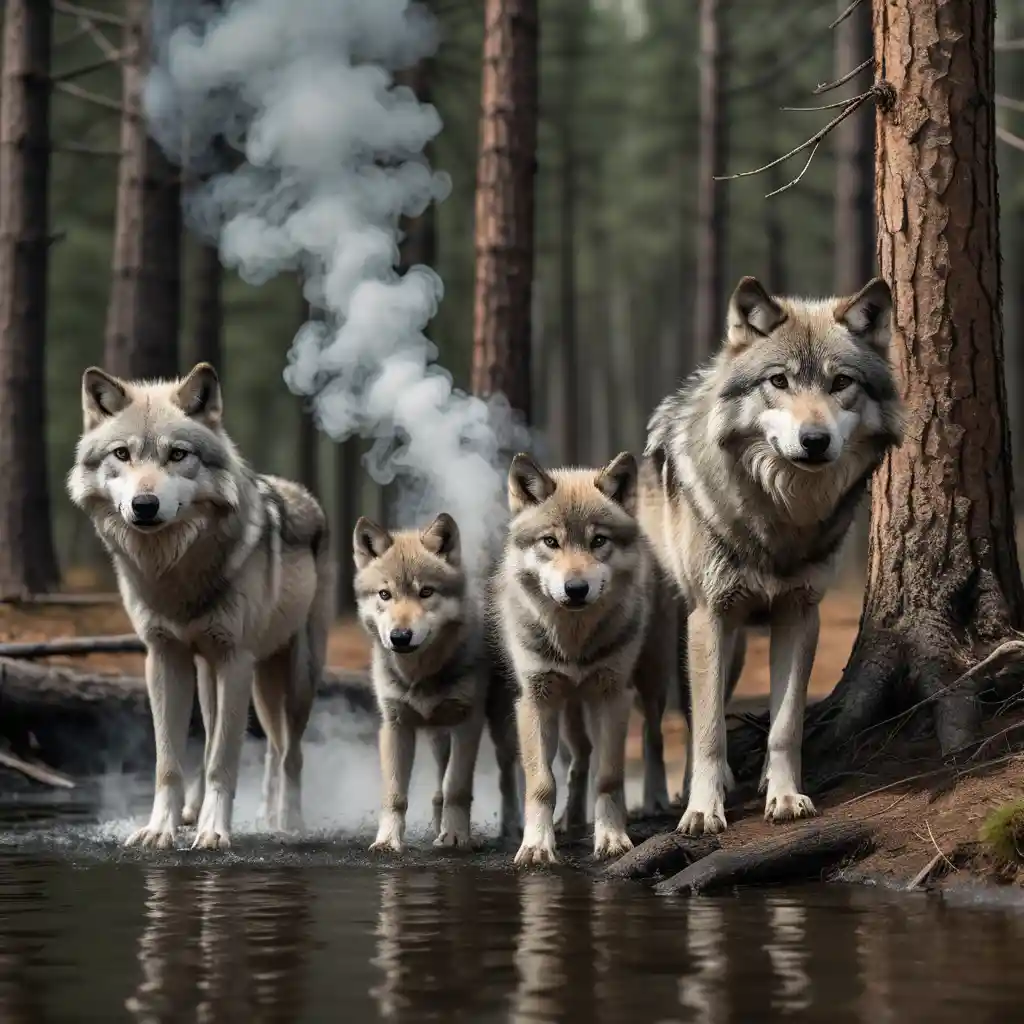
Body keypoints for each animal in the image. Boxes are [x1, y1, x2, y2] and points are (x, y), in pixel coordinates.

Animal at [67, 362, 331, 850]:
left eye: (177, 455)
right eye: (121, 454)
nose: (144, 505)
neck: (175, 574)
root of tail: (302, 492)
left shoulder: (235, 660)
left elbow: (222, 761)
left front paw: (214, 831)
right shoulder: (163, 658)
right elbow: (170, 762)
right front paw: (161, 829)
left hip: (296, 675)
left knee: (289, 752)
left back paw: (287, 822)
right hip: (217, 676)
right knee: (248, 743)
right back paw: (239, 813)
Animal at [353, 512, 521, 852]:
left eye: (426, 592)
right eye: (384, 594)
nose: (400, 637)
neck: (420, 675)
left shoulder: (468, 724)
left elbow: (457, 786)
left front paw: (456, 836)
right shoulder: (395, 726)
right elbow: (395, 794)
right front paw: (387, 841)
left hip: (502, 728)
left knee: (507, 776)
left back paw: (511, 830)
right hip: (438, 737)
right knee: (438, 787)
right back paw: (435, 825)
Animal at [494, 451, 667, 866]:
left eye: (598, 540)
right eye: (550, 542)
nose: (575, 589)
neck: (572, 643)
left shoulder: (613, 695)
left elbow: (609, 777)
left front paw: (612, 839)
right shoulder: (536, 701)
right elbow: (542, 783)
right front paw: (537, 845)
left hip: (652, 683)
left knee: (653, 736)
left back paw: (656, 801)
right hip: (570, 708)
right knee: (580, 758)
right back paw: (570, 820)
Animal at [641, 276, 903, 837]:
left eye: (840, 382)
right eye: (778, 381)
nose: (814, 440)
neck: (782, 514)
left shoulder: (800, 615)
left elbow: (786, 724)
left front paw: (784, 795)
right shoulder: (710, 618)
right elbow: (708, 730)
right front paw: (703, 809)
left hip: (739, 648)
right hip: (673, 644)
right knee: (670, 720)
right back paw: (672, 794)